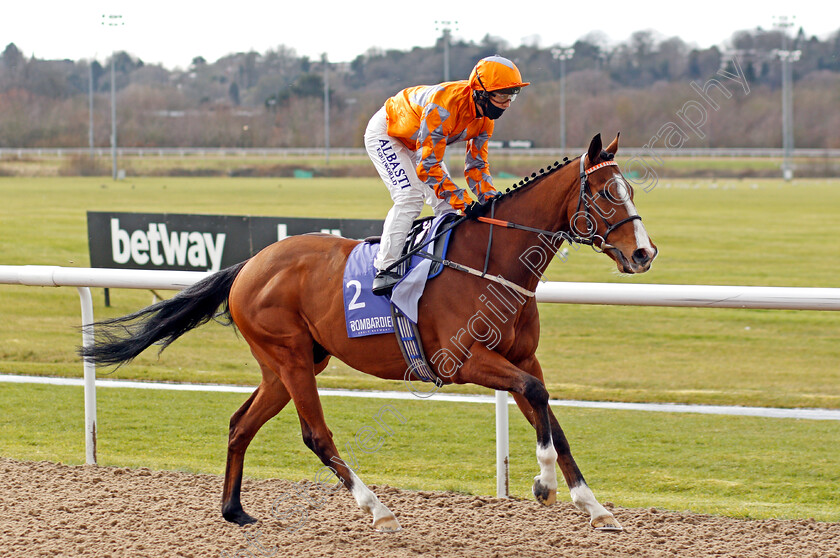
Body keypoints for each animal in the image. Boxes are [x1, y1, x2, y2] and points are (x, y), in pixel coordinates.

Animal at [82, 133, 656, 536]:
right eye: (604, 193)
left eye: (629, 189)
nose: (644, 253)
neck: (490, 263)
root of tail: (249, 264)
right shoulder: (462, 361)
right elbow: (536, 399)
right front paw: (543, 484)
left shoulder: (522, 358)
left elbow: (548, 414)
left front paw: (595, 507)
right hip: (291, 358)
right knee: (316, 435)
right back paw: (377, 510)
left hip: (287, 365)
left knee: (240, 424)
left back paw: (234, 510)